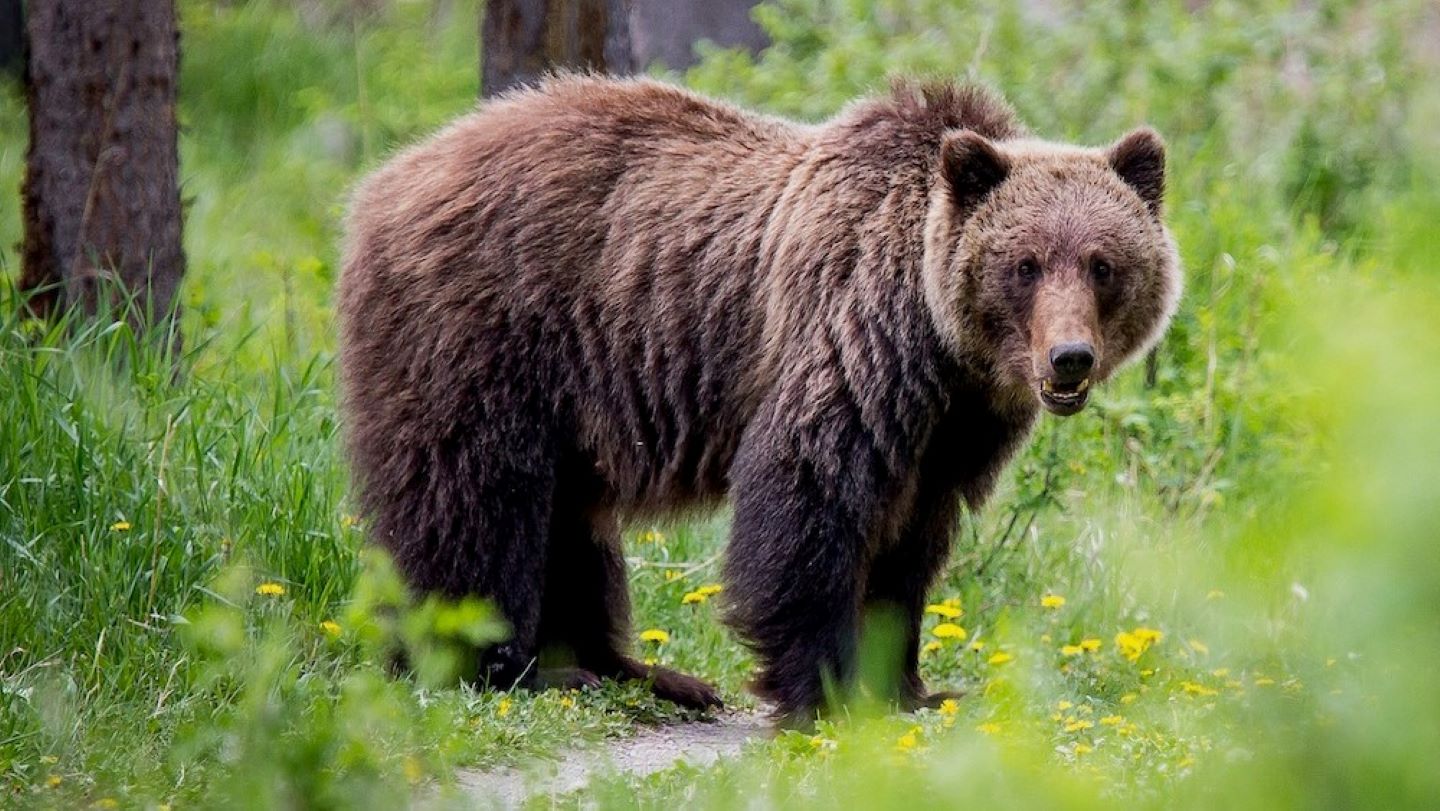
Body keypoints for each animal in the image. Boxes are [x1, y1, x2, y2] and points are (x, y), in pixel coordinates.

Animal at [336, 74, 1180, 723]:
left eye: (1103, 263)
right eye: (1025, 263)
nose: (1068, 358)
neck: (940, 344)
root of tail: (387, 178)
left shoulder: (950, 428)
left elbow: (910, 547)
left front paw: (913, 685)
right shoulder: (849, 342)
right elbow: (808, 498)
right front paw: (827, 689)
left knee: (573, 522)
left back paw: (643, 673)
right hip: (486, 329)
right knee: (475, 496)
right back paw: (496, 663)